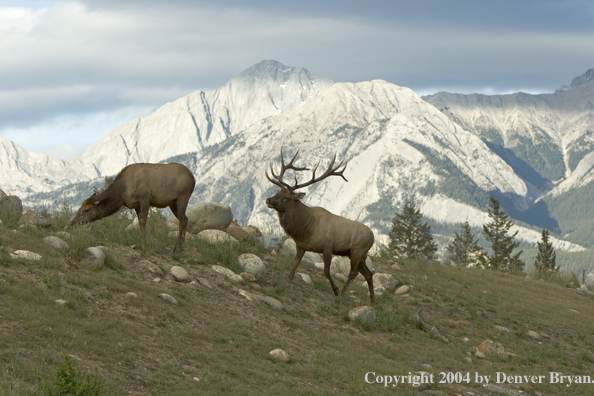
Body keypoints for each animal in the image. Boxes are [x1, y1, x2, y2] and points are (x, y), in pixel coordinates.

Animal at [264, 149, 374, 304]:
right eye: (277, 192)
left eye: (286, 198)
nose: (268, 199)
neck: (306, 229)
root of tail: (373, 237)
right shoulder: (301, 245)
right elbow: (296, 262)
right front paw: (289, 277)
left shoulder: (328, 246)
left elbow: (326, 271)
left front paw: (335, 290)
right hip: (361, 255)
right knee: (369, 274)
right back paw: (373, 301)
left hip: (357, 250)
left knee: (354, 272)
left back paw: (343, 293)